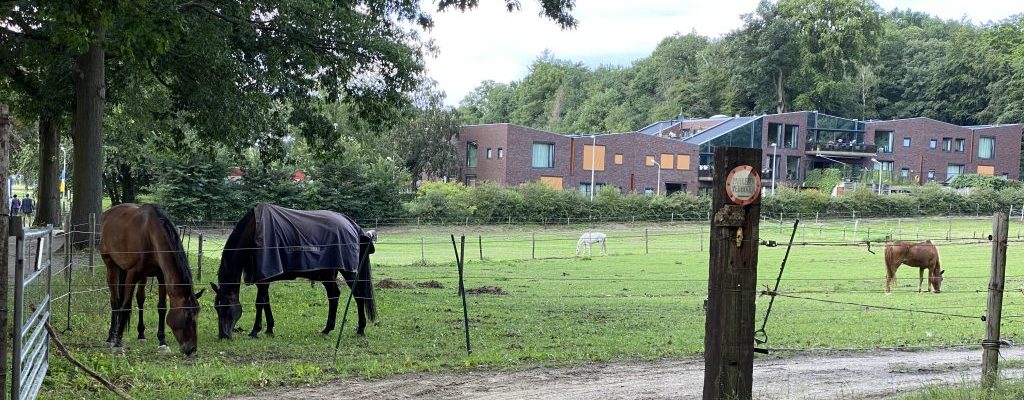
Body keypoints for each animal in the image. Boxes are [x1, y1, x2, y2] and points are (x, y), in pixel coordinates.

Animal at [99, 205, 203, 356]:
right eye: (189, 316)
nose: (192, 349)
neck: (150, 234)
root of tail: (108, 213)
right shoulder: (132, 274)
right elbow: (126, 306)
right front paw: (118, 343)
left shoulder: (161, 276)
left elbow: (162, 307)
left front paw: (162, 341)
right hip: (111, 266)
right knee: (115, 301)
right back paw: (111, 337)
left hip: (134, 273)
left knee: (140, 298)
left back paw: (141, 334)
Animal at [211, 205, 376, 339]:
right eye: (216, 308)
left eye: (225, 307)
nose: (223, 335)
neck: (254, 234)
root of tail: (351, 225)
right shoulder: (263, 279)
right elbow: (266, 302)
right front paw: (269, 329)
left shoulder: (263, 279)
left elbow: (260, 303)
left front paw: (255, 331)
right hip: (328, 274)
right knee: (334, 295)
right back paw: (327, 329)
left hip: (346, 271)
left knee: (358, 294)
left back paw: (360, 329)